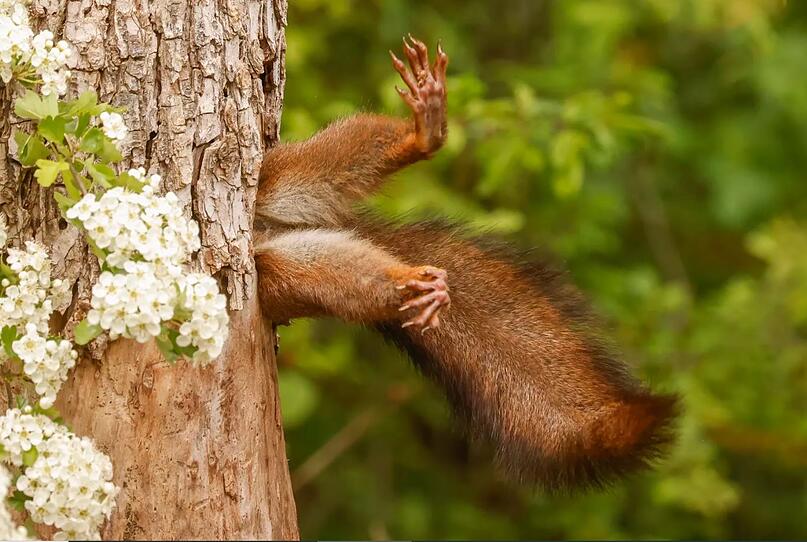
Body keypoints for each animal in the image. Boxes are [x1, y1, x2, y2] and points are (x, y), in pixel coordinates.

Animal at [256, 35, 680, 492]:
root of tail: (267, 230)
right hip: (280, 273)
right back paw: (414, 285)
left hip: (275, 177)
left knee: (328, 161)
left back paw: (423, 136)